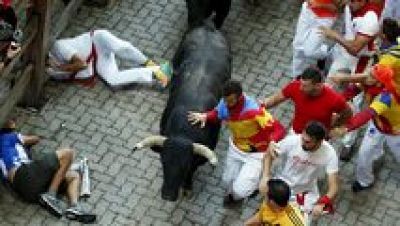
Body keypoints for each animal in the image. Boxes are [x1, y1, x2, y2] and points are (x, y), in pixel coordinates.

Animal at [133, 24, 230, 201]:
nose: (168, 195)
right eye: (163, 161)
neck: (184, 130)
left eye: (184, 166)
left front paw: (187, 187)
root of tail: (209, 27)